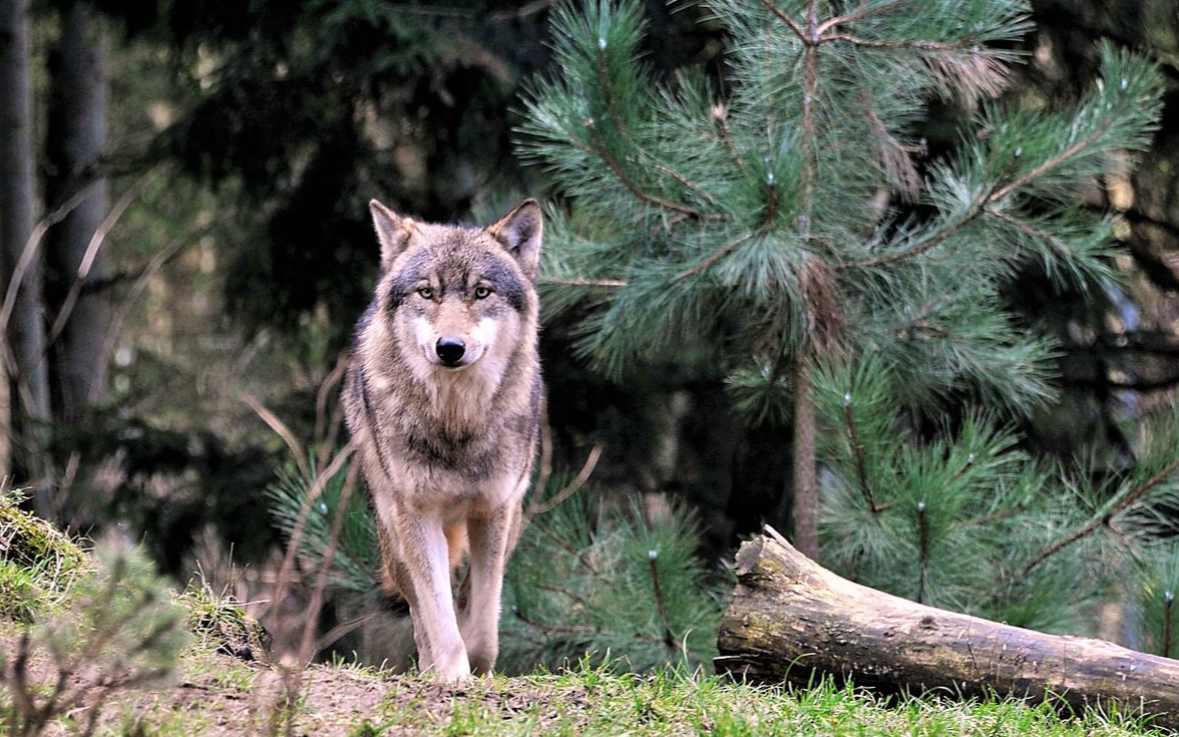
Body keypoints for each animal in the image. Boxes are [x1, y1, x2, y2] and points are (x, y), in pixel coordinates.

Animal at [341, 196, 542, 679]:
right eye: (427, 292)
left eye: (482, 292)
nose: (449, 347)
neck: (456, 421)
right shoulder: (418, 513)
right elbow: (437, 613)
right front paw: (452, 676)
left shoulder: (494, 509)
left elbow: (484, 619)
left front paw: (479, 669)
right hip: (393, 531)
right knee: (419, 606)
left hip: (510, 521)